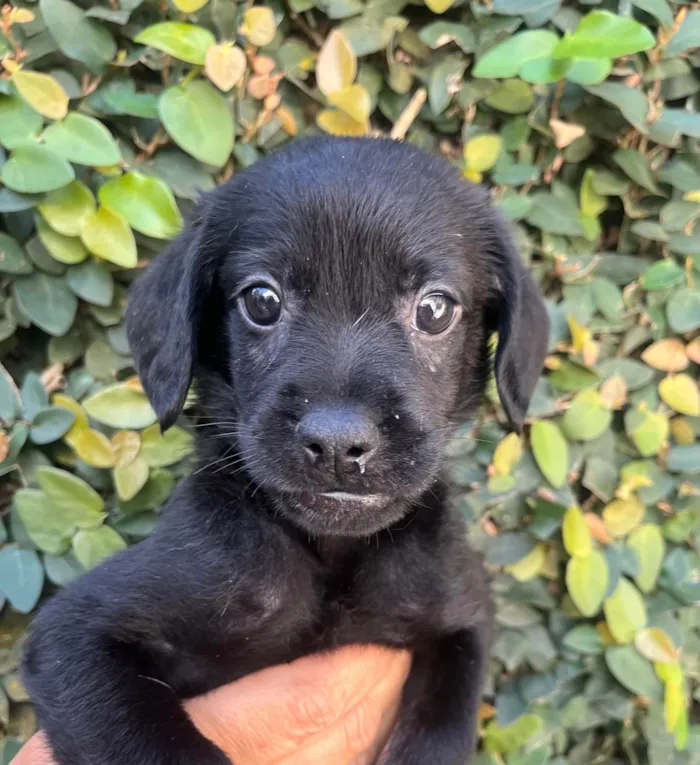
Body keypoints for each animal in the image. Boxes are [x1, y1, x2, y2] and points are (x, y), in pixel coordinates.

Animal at [21, 137, 548, 764]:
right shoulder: (77, 635)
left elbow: (439, 734)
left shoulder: (463, 619)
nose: (339, 443)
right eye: (262, 301)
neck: (329, 555)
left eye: (435, 309)